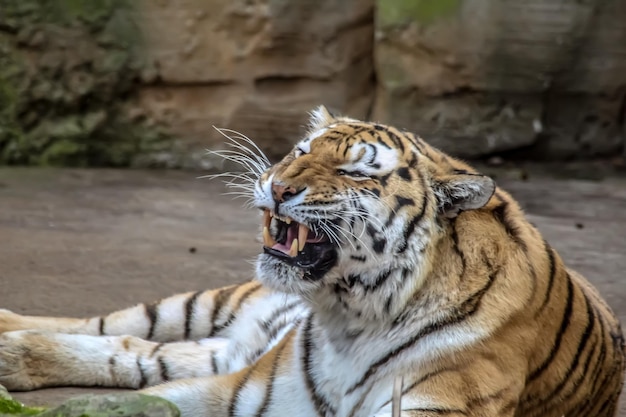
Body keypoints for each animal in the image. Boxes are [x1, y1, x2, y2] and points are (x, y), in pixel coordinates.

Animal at [0, 105, 620, 416]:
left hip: (220, 347)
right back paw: (10, 338)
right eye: (301, 151)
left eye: (354, 170)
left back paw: (12, 358)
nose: (276, 185)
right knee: (110, 326)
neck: (353, 317)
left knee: (137, 352)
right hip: (206, 306)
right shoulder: (245, 391)